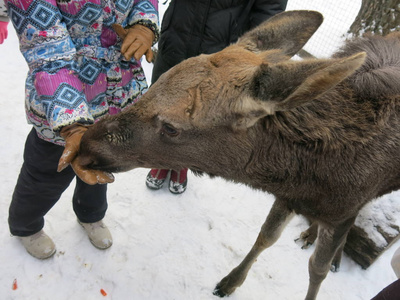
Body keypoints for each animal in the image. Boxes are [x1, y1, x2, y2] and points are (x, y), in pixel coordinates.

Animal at [75, 10, 400, 298]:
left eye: (171, 127)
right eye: (157, 82)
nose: (86, 145)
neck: (312, 177)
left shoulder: (345, 208)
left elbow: (316, 270)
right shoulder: (288, 196)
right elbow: (266, 236)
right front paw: (229, 282)